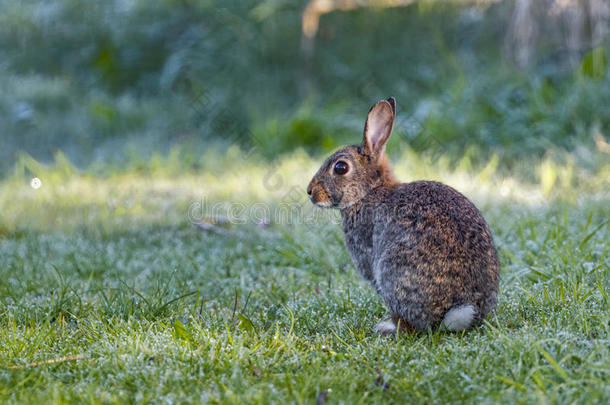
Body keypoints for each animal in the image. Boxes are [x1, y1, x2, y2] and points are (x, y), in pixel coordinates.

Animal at [306, 96, 496, 332]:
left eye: (340, 168)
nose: (310, 192)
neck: (370, 190)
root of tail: (455, 312)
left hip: (390, 271)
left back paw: (387, 328)